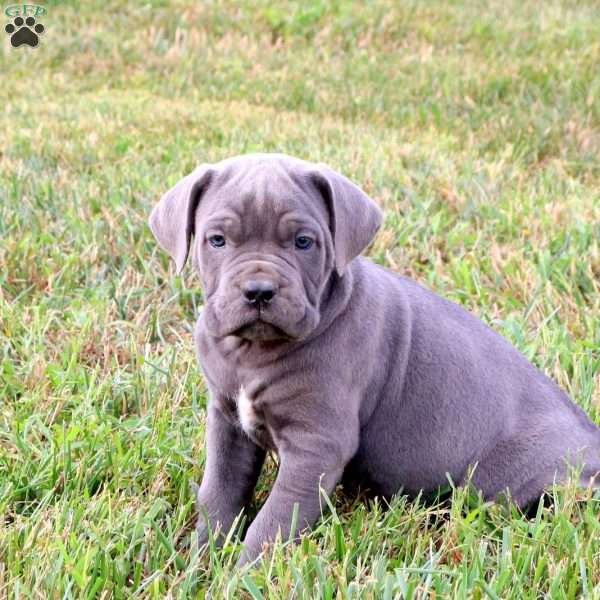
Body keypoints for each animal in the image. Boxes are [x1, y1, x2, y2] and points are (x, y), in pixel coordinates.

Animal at [149, 152, 600, 564]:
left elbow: (276, 519)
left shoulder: (317, 444)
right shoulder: (228, 420)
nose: (259, 291)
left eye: (303, 242)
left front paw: (245, 574)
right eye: (217, 240)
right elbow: (219, 492)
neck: (254, 351)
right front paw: (202, 560)